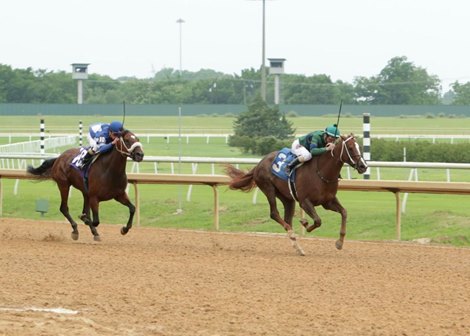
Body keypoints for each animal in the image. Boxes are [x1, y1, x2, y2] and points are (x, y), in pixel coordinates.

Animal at [226, 133, 370, 255]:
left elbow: (344, 212)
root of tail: (258, 164)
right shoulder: (304, 201)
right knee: (274, 214)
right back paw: (292, 234)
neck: (322, 172)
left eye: (360, 147)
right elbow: (318, 221)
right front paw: (305, 223)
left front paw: (339, 243)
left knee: (287, 219)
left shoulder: (328, 201)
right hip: (268, 188)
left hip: (287, 198)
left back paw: (298, 248)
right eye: (350, 148)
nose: (363, 166)